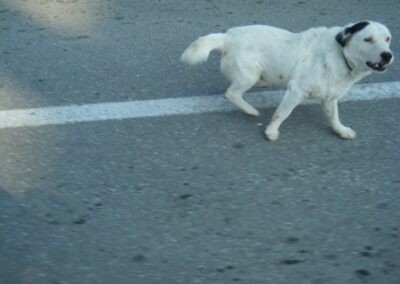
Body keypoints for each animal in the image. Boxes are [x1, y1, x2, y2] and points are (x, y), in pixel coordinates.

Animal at [181, 20, 394, 140]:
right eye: (367, 39)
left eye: (388, 39)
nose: (388, 55)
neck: (341, 54)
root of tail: (227, 37)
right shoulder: (296, 91)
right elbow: (281, 114)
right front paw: (271, 132)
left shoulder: (330, 98)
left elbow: (334, 116)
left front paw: (340, 130)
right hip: (249, 73)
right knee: (231, 93)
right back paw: (250, 110)